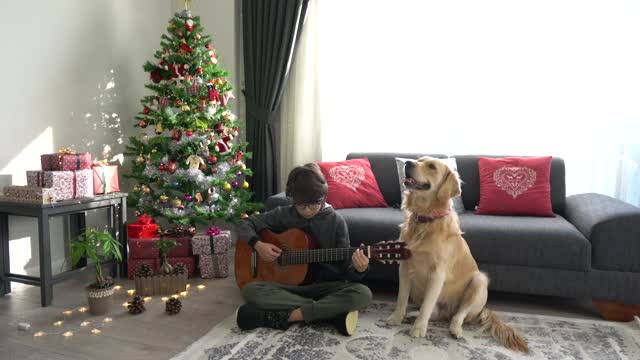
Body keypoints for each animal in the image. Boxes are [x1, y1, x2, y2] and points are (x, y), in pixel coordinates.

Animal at [384, 157, 528, 352]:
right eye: (419, 160)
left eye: (431, 166)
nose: (407, 162)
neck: (425, 219)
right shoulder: (405, 266)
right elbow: (401, 298)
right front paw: (397, 317)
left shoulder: (437, 274)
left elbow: (427, 306)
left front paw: (419, 328)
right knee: (438, 313)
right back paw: (412, 314)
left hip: (479, 281)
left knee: (458, 315)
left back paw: (454, 329)